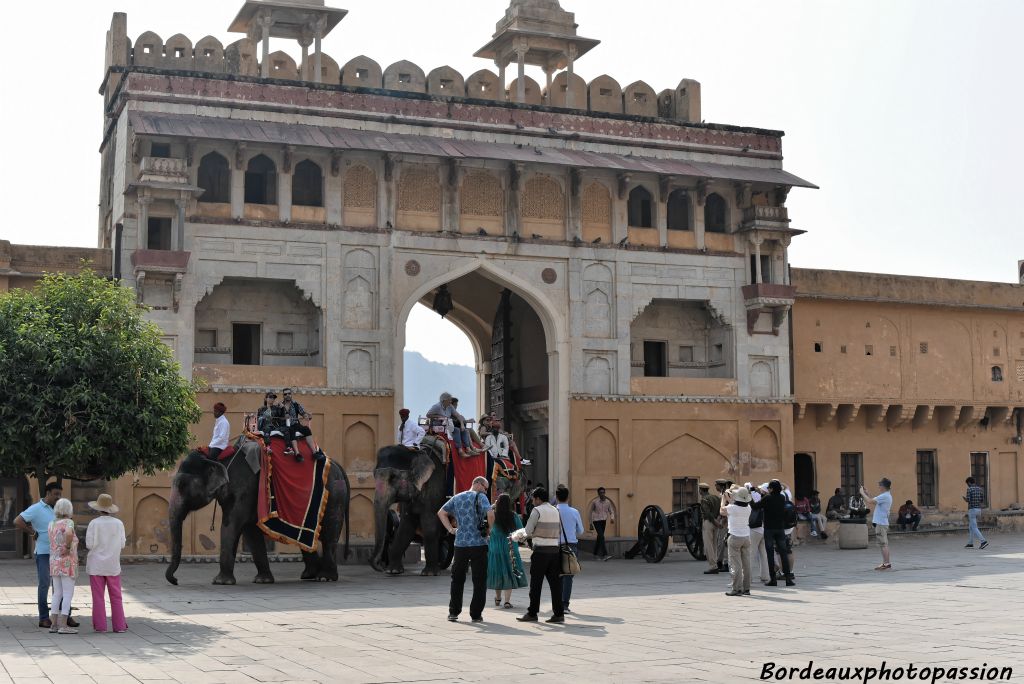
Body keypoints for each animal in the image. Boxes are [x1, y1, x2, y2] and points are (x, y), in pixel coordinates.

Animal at [161, 436, 350, 585]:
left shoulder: (243, 489)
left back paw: (325, 577)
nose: (176, 581)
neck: (217, 458)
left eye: (182, 485)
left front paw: (220, 582)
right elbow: (250, 531)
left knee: (329, 533)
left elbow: (232, 526)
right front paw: (262, 580)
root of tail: (338, 465)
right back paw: (309, 575)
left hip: (335, 495)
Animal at [370, 436, 446, 573]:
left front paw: (429, 573)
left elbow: (429, 524)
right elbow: (406, 526)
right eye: (374, 475)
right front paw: (393, 571)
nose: (380, 566)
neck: (415, 453)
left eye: (393, 477)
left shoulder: (436, 486)